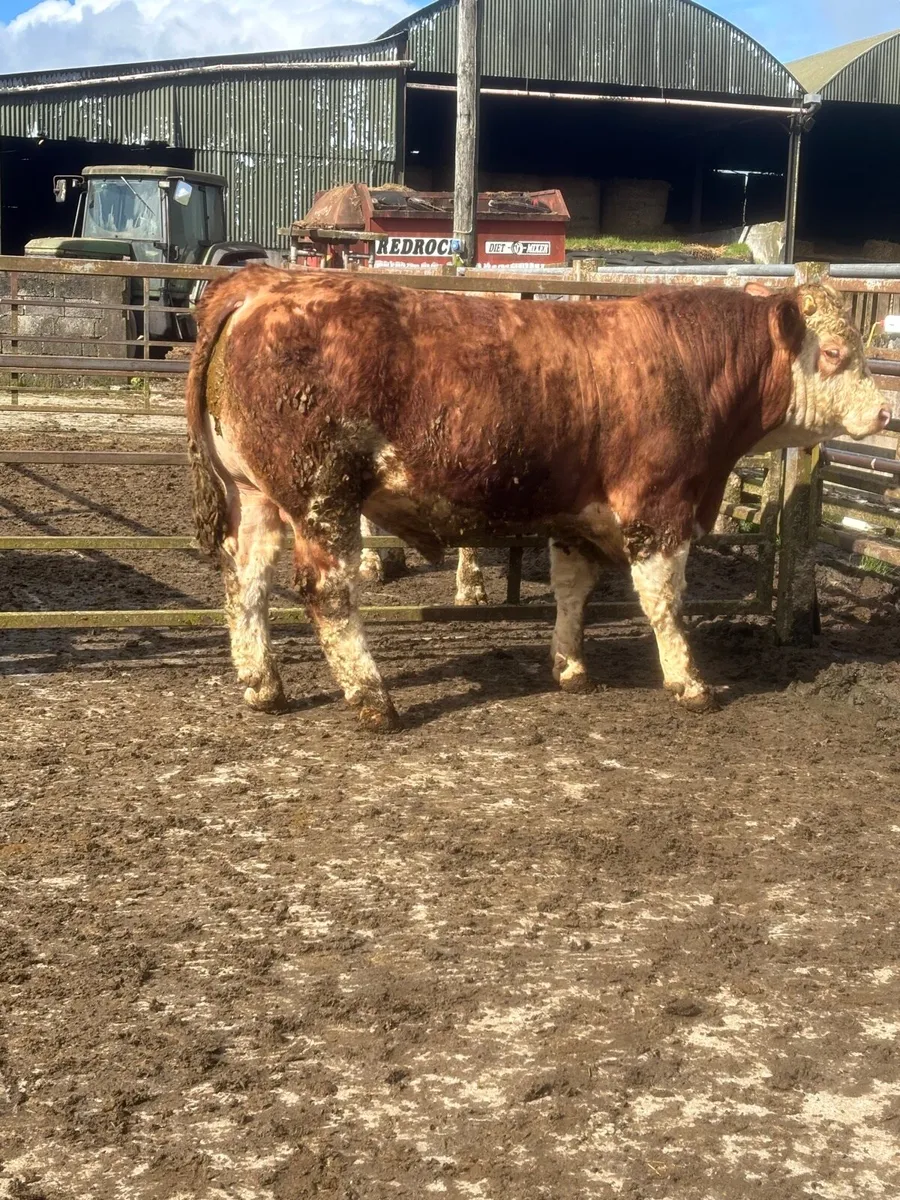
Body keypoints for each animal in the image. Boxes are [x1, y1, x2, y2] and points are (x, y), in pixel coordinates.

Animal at [186, 267, 890, 732]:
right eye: (835, 352)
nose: (885, 410)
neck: (685, 366)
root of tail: (261, 288)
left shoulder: (577, 515)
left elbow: (572, 591)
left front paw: (571, 668)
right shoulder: (658, 508)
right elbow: (664, 602)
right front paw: (690, 683)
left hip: (256, 497)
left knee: (246, 580)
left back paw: (263, 686)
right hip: (323, 496)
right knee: (326, 592)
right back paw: (373, 699)